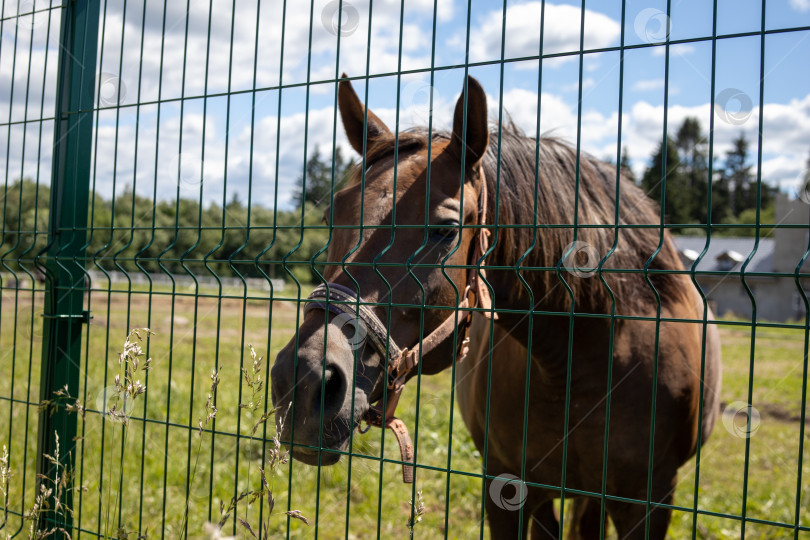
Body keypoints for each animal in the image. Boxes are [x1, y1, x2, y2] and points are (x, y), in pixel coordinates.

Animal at [272, 76, 720, 540]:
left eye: (444, 230)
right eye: (332, 214)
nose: (302, 382)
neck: (582, 360)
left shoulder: (648, 503)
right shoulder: (506, 487)